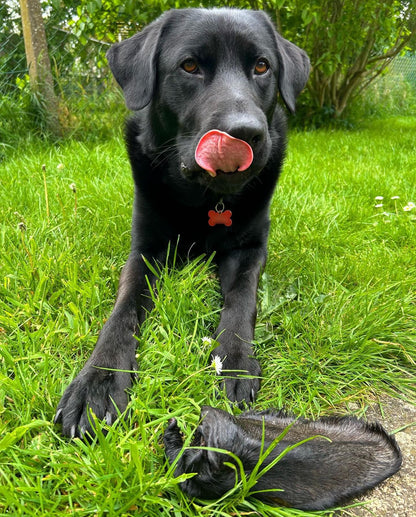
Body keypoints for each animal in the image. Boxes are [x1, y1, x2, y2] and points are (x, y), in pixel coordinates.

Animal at [54, 7, 308, 436]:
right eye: (189, 66)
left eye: (261, 66)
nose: (245, 134)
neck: (206, 197)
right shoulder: (145, 250)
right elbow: (122, 311)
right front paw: (99, 380)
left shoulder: (250, 250)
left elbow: (242, 299)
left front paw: (235, 359)